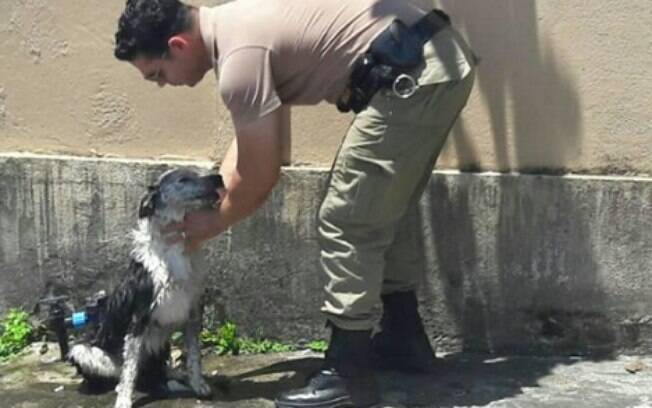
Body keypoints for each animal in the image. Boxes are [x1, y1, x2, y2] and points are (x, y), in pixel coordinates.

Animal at [67, 167, 223, 408]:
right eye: (183, 179)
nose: (219, 178)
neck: (173, 247)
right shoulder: (138, 319)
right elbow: (130, 369)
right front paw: (123, 400)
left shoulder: (192, 313)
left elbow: (194, 357)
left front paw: (198, 385)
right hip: (82, 350)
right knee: (126, 374)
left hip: (160, 344)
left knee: (156, 371)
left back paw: (173, 377)